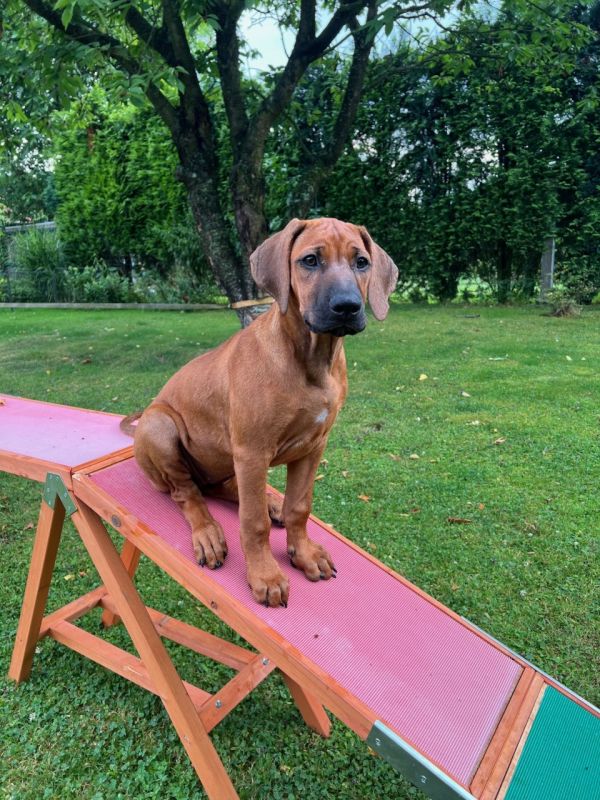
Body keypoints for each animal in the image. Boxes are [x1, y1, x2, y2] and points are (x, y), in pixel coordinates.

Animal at [122, 218, 398, 607]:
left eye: (362, 262)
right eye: (310, 260)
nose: (347, 307)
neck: (312, 358)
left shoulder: (313, 446)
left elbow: (299, 506)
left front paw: (303, 553)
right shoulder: (253, 451)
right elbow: (252, 524)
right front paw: (265, 575)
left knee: (224, 489)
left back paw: (271, 503)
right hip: (160, 426)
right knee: (188, 493)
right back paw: (209, 533)